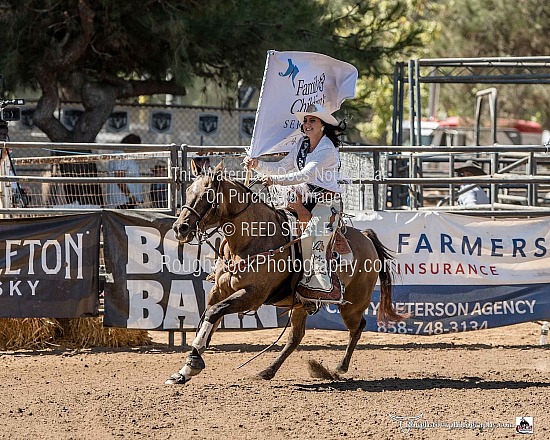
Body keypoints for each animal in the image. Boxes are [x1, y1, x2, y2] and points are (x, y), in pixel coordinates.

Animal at [167, 162, 406, 384]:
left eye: (207, 194)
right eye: (188, 191)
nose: (180, 228)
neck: (253, 238)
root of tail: (366, 238)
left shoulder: (253, 295)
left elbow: (213, 313)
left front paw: (193, 363)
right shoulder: (219, 290)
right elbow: (208, 317)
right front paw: (184, 370)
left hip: (353, 305)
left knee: (357, 328)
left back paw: (340, 368)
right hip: (301, 304)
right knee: (295, 338)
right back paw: (267, 371)